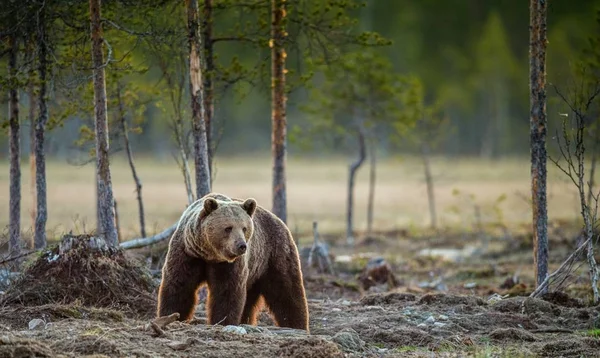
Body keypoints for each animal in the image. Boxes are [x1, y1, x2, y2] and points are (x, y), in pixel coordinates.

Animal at [157, 192, 310, 332]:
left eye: (244, 228)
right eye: (228, 228)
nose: (242, 245)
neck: (210, 255)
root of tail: (280, 221)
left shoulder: (229, 265)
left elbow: (227, 291)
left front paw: (223, 321)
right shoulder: (188, 254)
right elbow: (179, 285)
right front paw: (172, 316)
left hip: (273, 256)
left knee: (286, 290)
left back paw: (297, 325)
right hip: (255, 269)